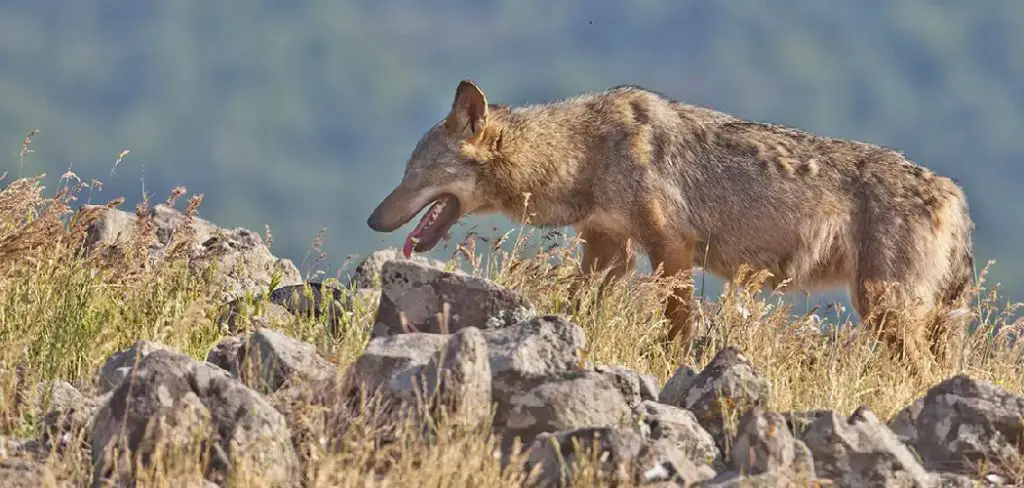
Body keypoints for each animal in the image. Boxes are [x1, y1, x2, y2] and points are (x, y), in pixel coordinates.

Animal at [366, 79, 975, 365]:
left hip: (883, 311)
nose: (373, 220)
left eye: (417, 175)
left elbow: (676, 327)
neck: (583, 153)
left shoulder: (672, 248)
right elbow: (577, 305)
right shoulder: (608, 250)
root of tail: (954, 191)